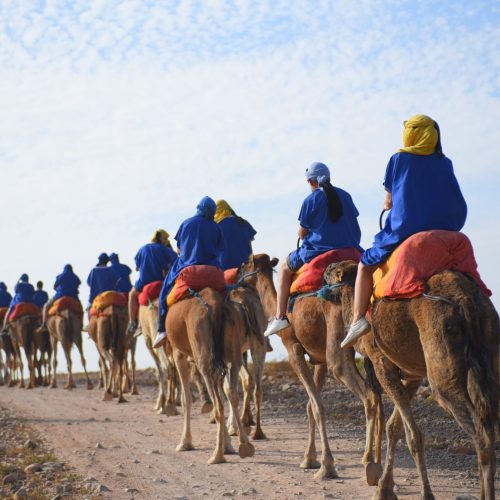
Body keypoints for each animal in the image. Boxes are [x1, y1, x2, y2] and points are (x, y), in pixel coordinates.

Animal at [167, 290, 254, 464]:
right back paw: (245, 444)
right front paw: (229, 445)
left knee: (218, 405)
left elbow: (186, 399)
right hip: (232, 355)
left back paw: (217, 455)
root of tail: (216, 307)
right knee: (232, 393)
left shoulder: (178, 353)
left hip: (204, 358)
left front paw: (184, 443)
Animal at [240, 256, 384, 482]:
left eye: (246, 263)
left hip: (338, 344)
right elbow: (310, 405)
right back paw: (375, 463)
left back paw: (367, 459)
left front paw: (326, 466)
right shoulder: (319, 359)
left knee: (367, 393)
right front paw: (309, 458)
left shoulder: (294, 350)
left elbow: (317, 406)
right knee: (377, 394)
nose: (237, 276)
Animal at [326, 262, 498, 500]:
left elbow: (413, 435)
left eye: (335, 271)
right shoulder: (413, 374)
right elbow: (394, 427)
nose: (325, 270)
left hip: (441, 350)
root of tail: (466, 300)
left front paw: (423, 493)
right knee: (489, 424)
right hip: (489, 343)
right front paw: (384, 487)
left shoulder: (381, 363)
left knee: (480, 432)